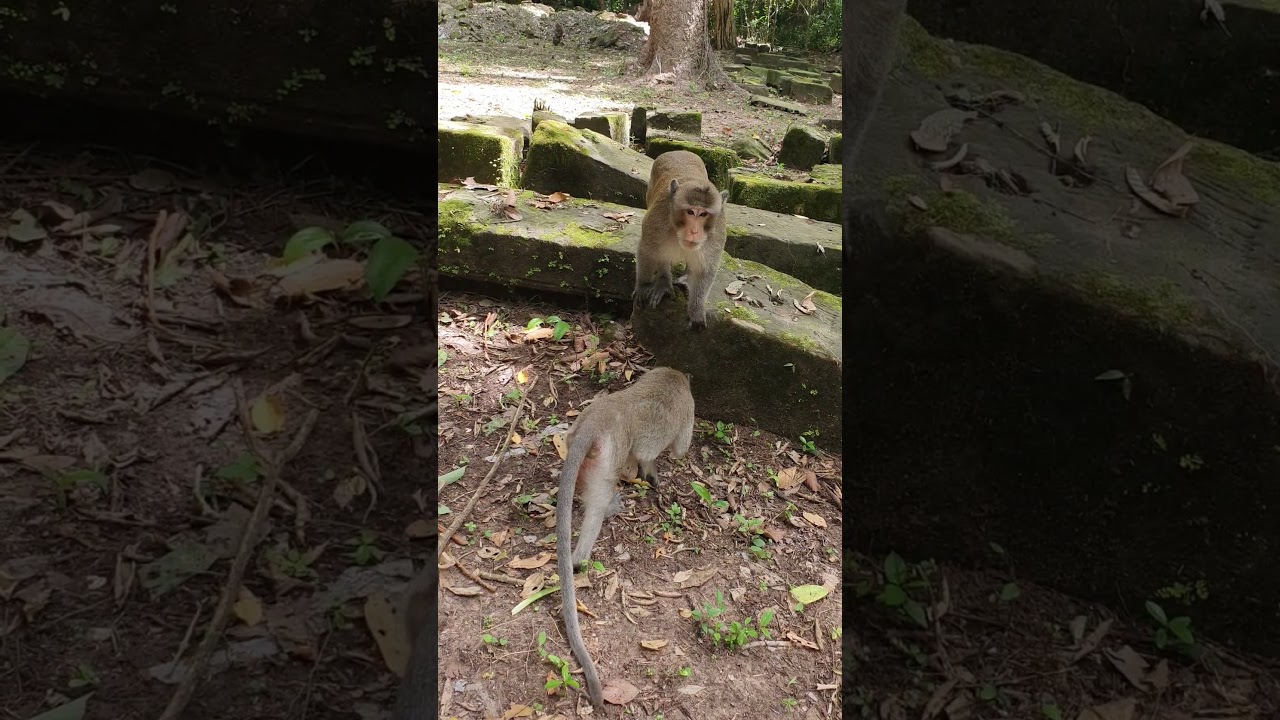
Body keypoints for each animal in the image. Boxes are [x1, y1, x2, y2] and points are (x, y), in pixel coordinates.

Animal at [556, 367, 695, 712]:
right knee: (599, 498)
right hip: (609, 455)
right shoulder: (688, 409)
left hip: (580, 445)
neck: (672, 376)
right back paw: (580, 555)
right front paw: (655, 470)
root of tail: (597, 419)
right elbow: (678, 449)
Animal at [635, 151, 729, 332]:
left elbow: (705, 270)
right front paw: (644, 286)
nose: (694, 231)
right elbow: (647, 250)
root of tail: (678, 151)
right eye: (691, 212)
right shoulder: (657, 222)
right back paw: (663, 282)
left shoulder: (717, 236)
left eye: (703, 214)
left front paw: (696, 310)